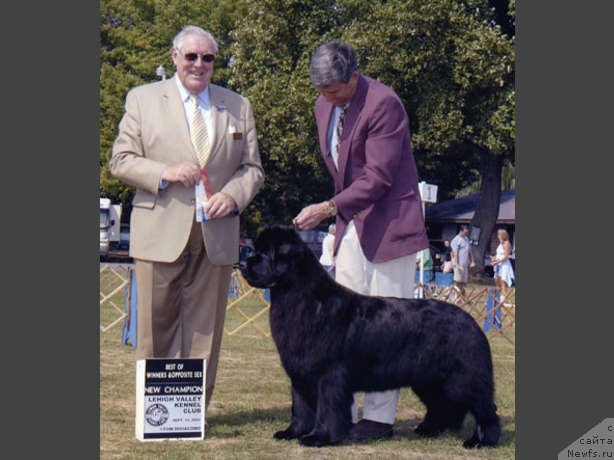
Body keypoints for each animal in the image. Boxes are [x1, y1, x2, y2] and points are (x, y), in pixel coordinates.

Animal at [239, 225, 500, 448]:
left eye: (265, 253)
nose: (242, 263)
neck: (303, 299)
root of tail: (471, 321)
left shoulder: (328, 374)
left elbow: (326, 408)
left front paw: (319, 437)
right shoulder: (300, 374)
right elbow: (300, 407)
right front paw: (292, 432)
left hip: (464, 377)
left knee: (484, 409)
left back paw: (481, 441)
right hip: (428, 379)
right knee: (442, 405)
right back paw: (428, 430)